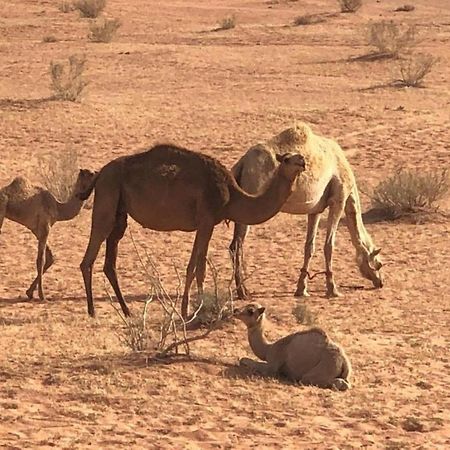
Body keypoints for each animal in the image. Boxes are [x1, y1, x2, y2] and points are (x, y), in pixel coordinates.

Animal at [0, 171, 97, 300]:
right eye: (90, 173)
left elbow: (50, 258)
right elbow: (41, 260)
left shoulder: (38, 230)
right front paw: (42, 295)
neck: (59, 208)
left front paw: (29, 292)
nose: (98, 173)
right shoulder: (45, 226)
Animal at [77, 142, 306, 318]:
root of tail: (99, 174)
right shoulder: (207, 220)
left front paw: (187, 309)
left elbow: (193, 267)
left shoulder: (204, 224)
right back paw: (92, 310)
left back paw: (126, 310)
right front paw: (199, 309)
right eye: (286, 159)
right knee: (90, 254)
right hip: (107, 194)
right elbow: (200, 268)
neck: (231, 195)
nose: (302, 161)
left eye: (298, 156)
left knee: (110, 260)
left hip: (120, 211)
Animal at [232, 121, 384, 300]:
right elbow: (329, 245)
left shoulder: (315, 209)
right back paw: (243, 292)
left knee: (235, 244)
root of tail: (242, 163)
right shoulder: (339, 200)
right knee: (237, 245)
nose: (380, 282)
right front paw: (332, 289)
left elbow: (309, 246)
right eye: (379, 263)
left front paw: (301, 289)